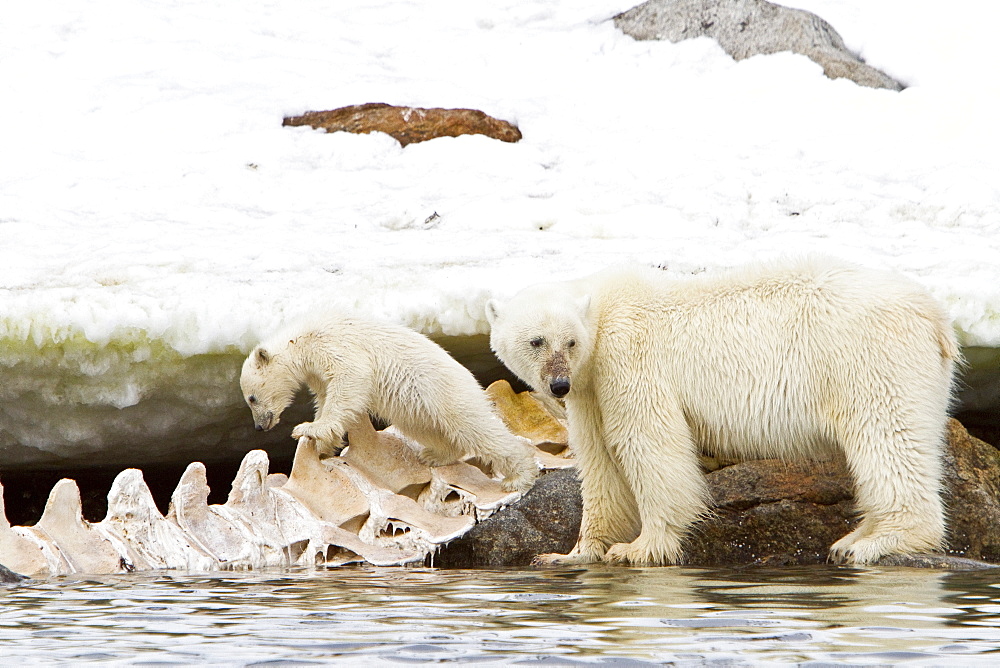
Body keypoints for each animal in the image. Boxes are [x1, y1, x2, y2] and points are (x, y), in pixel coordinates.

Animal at [488, 256, 956, 564]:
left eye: (568, 341)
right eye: (536, 341)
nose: (558, 385)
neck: (603, 312)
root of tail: (936, 315)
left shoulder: (629, 357)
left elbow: (647, 444)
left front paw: (639, 548)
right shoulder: (591, 389)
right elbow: (600, 462)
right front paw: (569, 553)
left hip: (870, 359)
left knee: (886, 436)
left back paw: (873, 542)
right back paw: (854, 537)